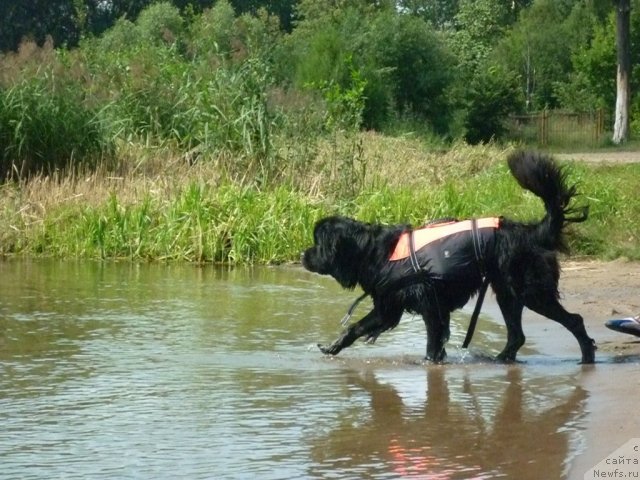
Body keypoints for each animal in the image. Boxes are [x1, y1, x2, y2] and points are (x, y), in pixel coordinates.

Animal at [302, 150, 596, 364]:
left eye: (317, 244)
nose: (304, 255)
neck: (374, 252)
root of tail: (533, 232)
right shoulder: (389, 306)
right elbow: (356, 328)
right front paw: (333, 347)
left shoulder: (429, 305)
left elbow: (433, 341)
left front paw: (430, 364)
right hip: (507, 292)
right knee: (517, 335)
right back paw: (501, 360)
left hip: (531, 291)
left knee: (574, 320)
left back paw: (586, 357)